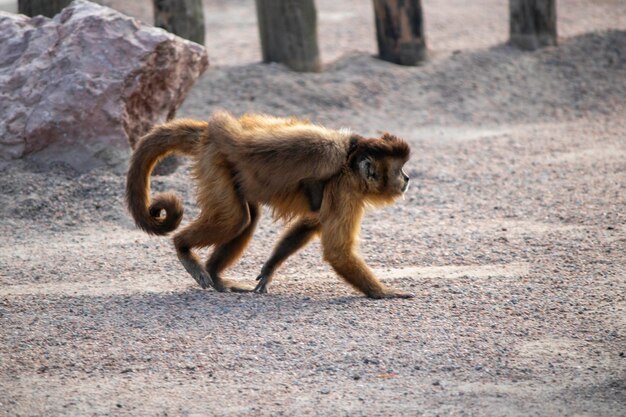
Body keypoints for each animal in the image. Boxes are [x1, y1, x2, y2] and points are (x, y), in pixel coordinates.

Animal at [124, 112, 412, 298]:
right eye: (399, 170)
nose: (407, 178)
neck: (349, 164)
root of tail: (207, 130)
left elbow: (311, 223)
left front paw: (269, 269)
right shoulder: (343, 188)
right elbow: (338, 251)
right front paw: (382, 292)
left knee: (246, 218)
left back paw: (215, 275)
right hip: (215, 157)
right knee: (235, 217)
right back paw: (183, 247)